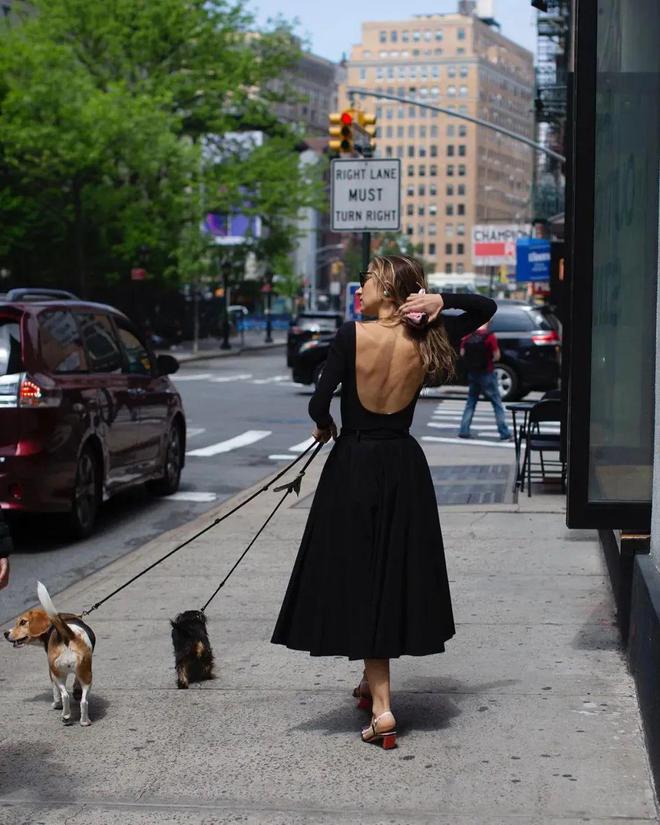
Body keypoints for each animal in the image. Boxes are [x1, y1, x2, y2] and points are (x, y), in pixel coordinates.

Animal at [3, 584, 96, 724]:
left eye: (23, 622)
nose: (5, 633)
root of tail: (68, 635)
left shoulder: (51, 672)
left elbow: (55, 692)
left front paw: (56, 704)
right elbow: (76, 684)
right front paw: (76, 691)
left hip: (58, 674)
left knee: (64, 695)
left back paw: (65, 715)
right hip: (86, 675)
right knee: (84, 701)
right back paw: (84, 721)